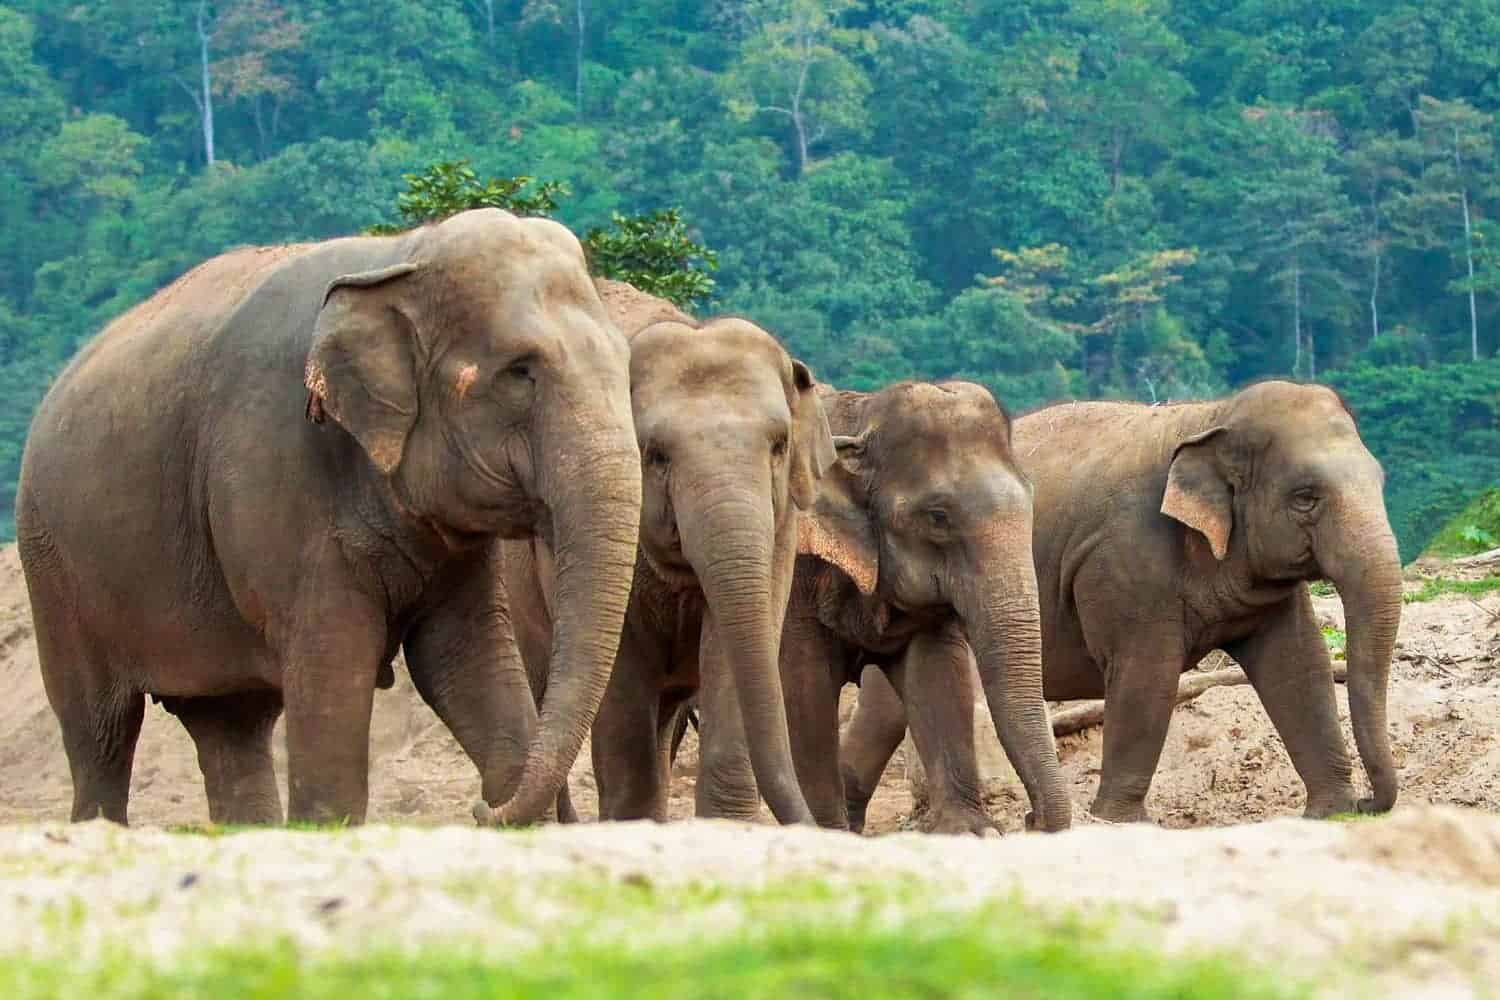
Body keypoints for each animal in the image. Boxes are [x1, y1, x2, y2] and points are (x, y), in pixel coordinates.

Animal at [16, 208, 643, 827]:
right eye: (521, 372)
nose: (481, 808)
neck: (399, 256)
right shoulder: (274, 471)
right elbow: (332, 665)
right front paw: (327, 822)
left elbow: (464, 655)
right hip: (52, 565)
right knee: (99, 730)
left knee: (230, 724)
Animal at [491, 280, 834, 826]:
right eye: (655, 455)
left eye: (780, 445)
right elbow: (620, 670)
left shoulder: (781, 528)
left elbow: (731, 649)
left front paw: (727, 824)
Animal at [697, 380, 1072, 834]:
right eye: (938, 516)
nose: (1032, 818)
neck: (861, 420)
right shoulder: (797, 571)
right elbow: (805, 683)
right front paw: (829, 830)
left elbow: (936, 673)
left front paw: (969, 829)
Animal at [841, 380, 1401, 825]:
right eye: (1306, 497)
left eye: (1381, 481)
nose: (1370, 802)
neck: (1210, 416)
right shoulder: (1126, 560)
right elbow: (1145, 676)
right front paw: (1120, 821)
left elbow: (1298, 666)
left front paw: (1331, 812)